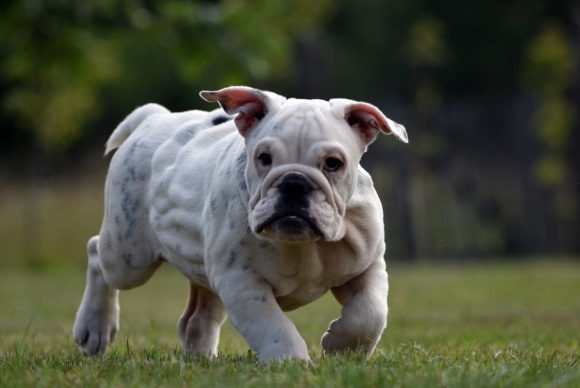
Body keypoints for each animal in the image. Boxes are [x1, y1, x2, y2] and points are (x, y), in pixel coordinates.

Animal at [73, 86, 408, 362]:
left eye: (334, 163)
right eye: (264, 158)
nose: (295, 183)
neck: (305, 245)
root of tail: (154, 118)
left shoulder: (368, 265)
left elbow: (370, 313)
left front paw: (342, 347)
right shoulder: (241, 283)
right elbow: (272, 325)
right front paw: (291, 362)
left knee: (196, 317)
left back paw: (201, 359)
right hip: (129, 255)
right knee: (96, 254)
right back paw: (94, 328)